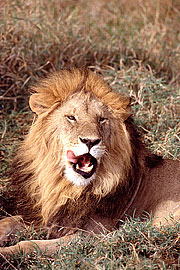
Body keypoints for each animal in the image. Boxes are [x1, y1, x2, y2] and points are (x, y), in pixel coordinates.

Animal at [0, 68, 180, 255]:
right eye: (71, 117)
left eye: (101, 119)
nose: (90, 141)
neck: (67, 187)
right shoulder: (50, 217)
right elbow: (8, 220)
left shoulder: (90, 234)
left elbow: (29, 244)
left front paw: (5, 253)